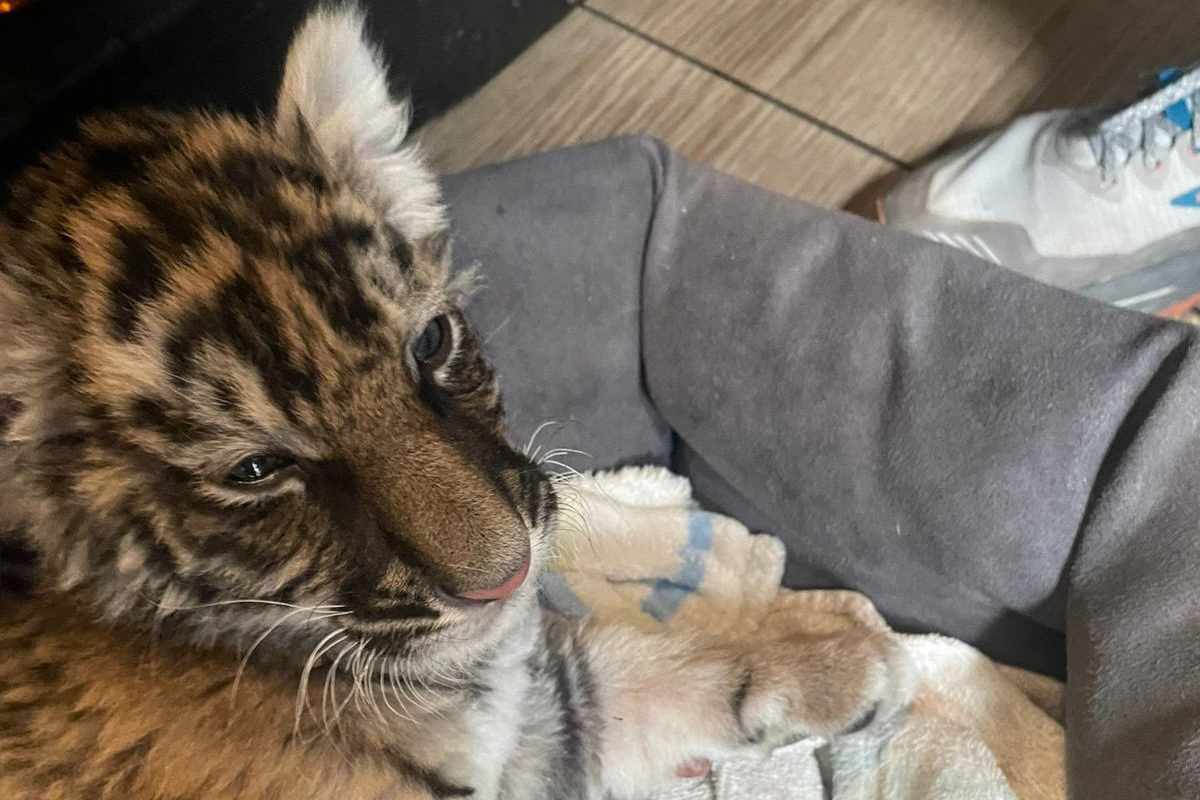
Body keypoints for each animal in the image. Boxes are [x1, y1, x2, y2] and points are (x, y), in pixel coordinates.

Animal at [0, 6, 911, 799]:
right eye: (255, 469)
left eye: (430, 343)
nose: (505, 582)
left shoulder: (538, 722)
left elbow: (636, 670)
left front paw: (840, 656)